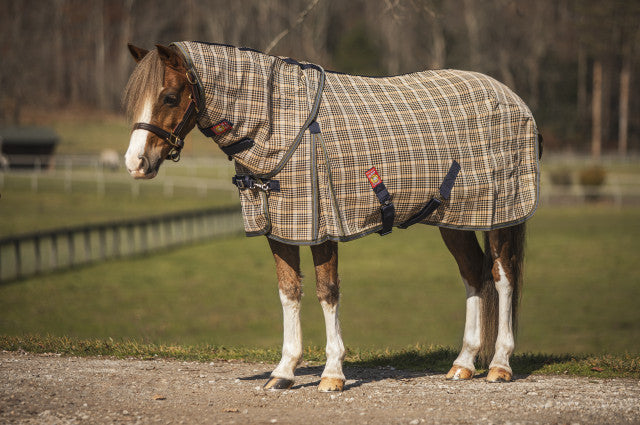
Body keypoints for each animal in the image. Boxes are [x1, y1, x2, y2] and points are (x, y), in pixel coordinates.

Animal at [123, 42, 541, 392]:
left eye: (169, 96)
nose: (135, 164)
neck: (281, 122)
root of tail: (513, 98)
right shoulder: (282, 228)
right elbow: (289, 292)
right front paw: (284, 372)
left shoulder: (321, 226)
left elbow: (327, 292)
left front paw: (332, 375)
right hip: (456, 220)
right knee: (473, 274)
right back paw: (463, 363)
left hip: (503, 215)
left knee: (502, 277)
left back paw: (500, 365)